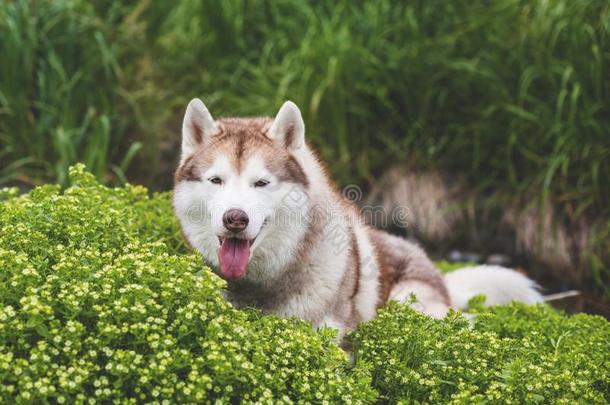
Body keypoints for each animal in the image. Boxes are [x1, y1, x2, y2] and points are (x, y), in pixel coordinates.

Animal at [172, 98, 540, 338]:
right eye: (216, 180)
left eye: (261, 183)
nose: (235, 218)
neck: (262, 285)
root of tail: (439, 274)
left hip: (409, 301)